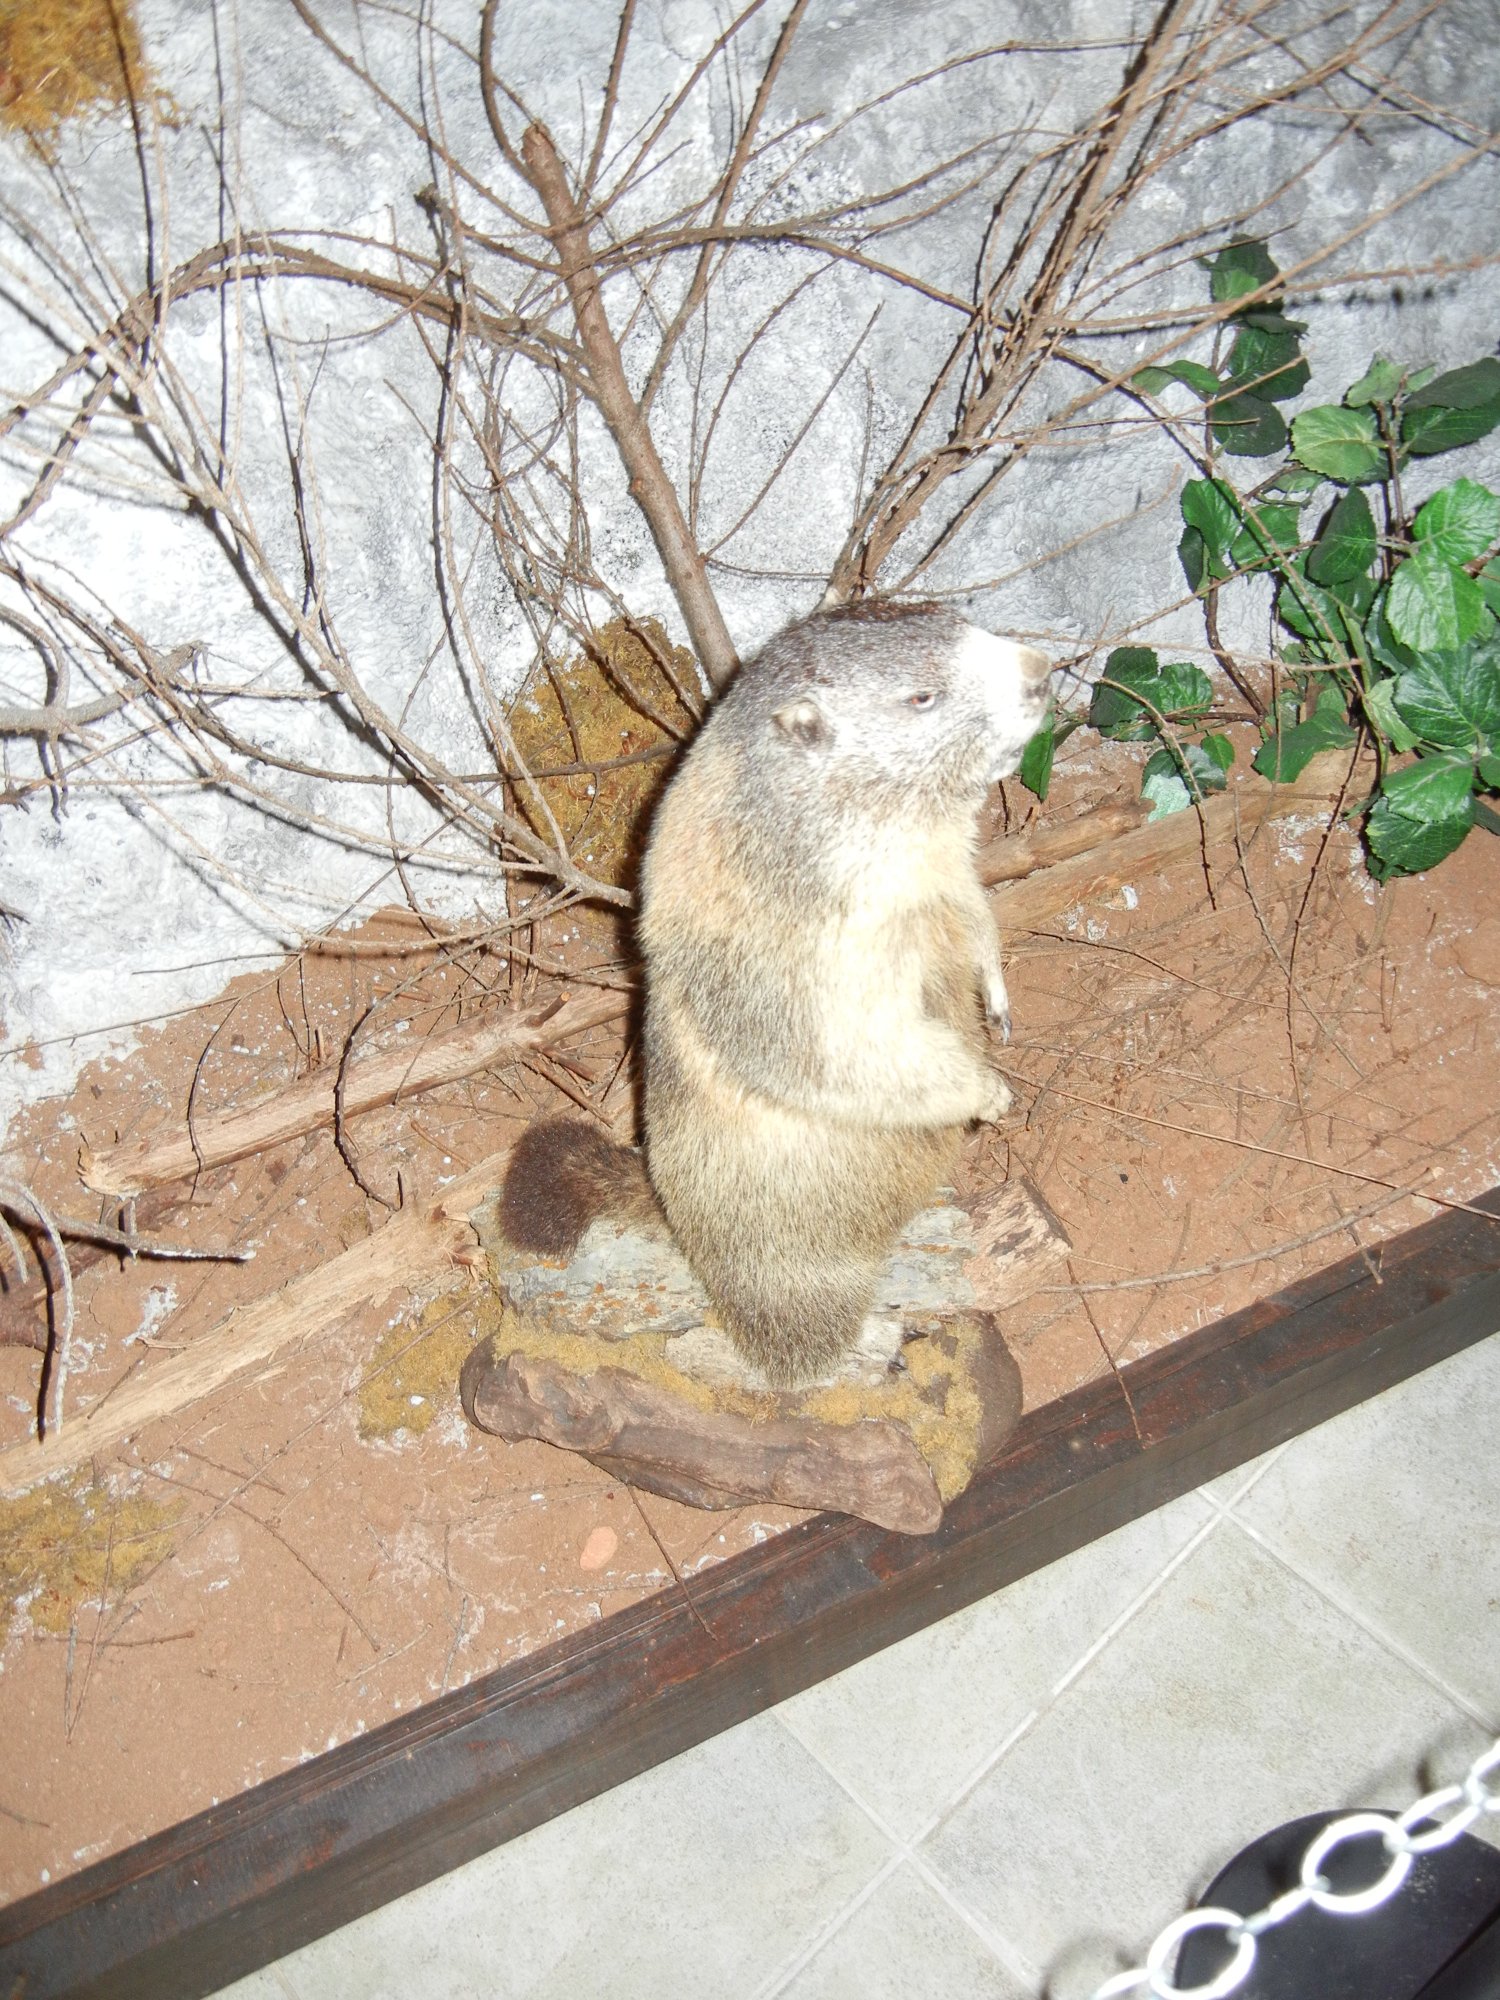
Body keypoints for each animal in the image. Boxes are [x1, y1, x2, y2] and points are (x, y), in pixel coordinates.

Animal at [499, 600, 1052, 1389]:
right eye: (921, 697)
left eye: (961, 618)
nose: (1043, 670)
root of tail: (667, 1207)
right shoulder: (799, 952)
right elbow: (849, 1048)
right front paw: (987, 1090)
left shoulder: (945, 867)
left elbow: (974, 907)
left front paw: (997, 998)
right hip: (785, 1272)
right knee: (784, 1355)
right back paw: (856, 1347)